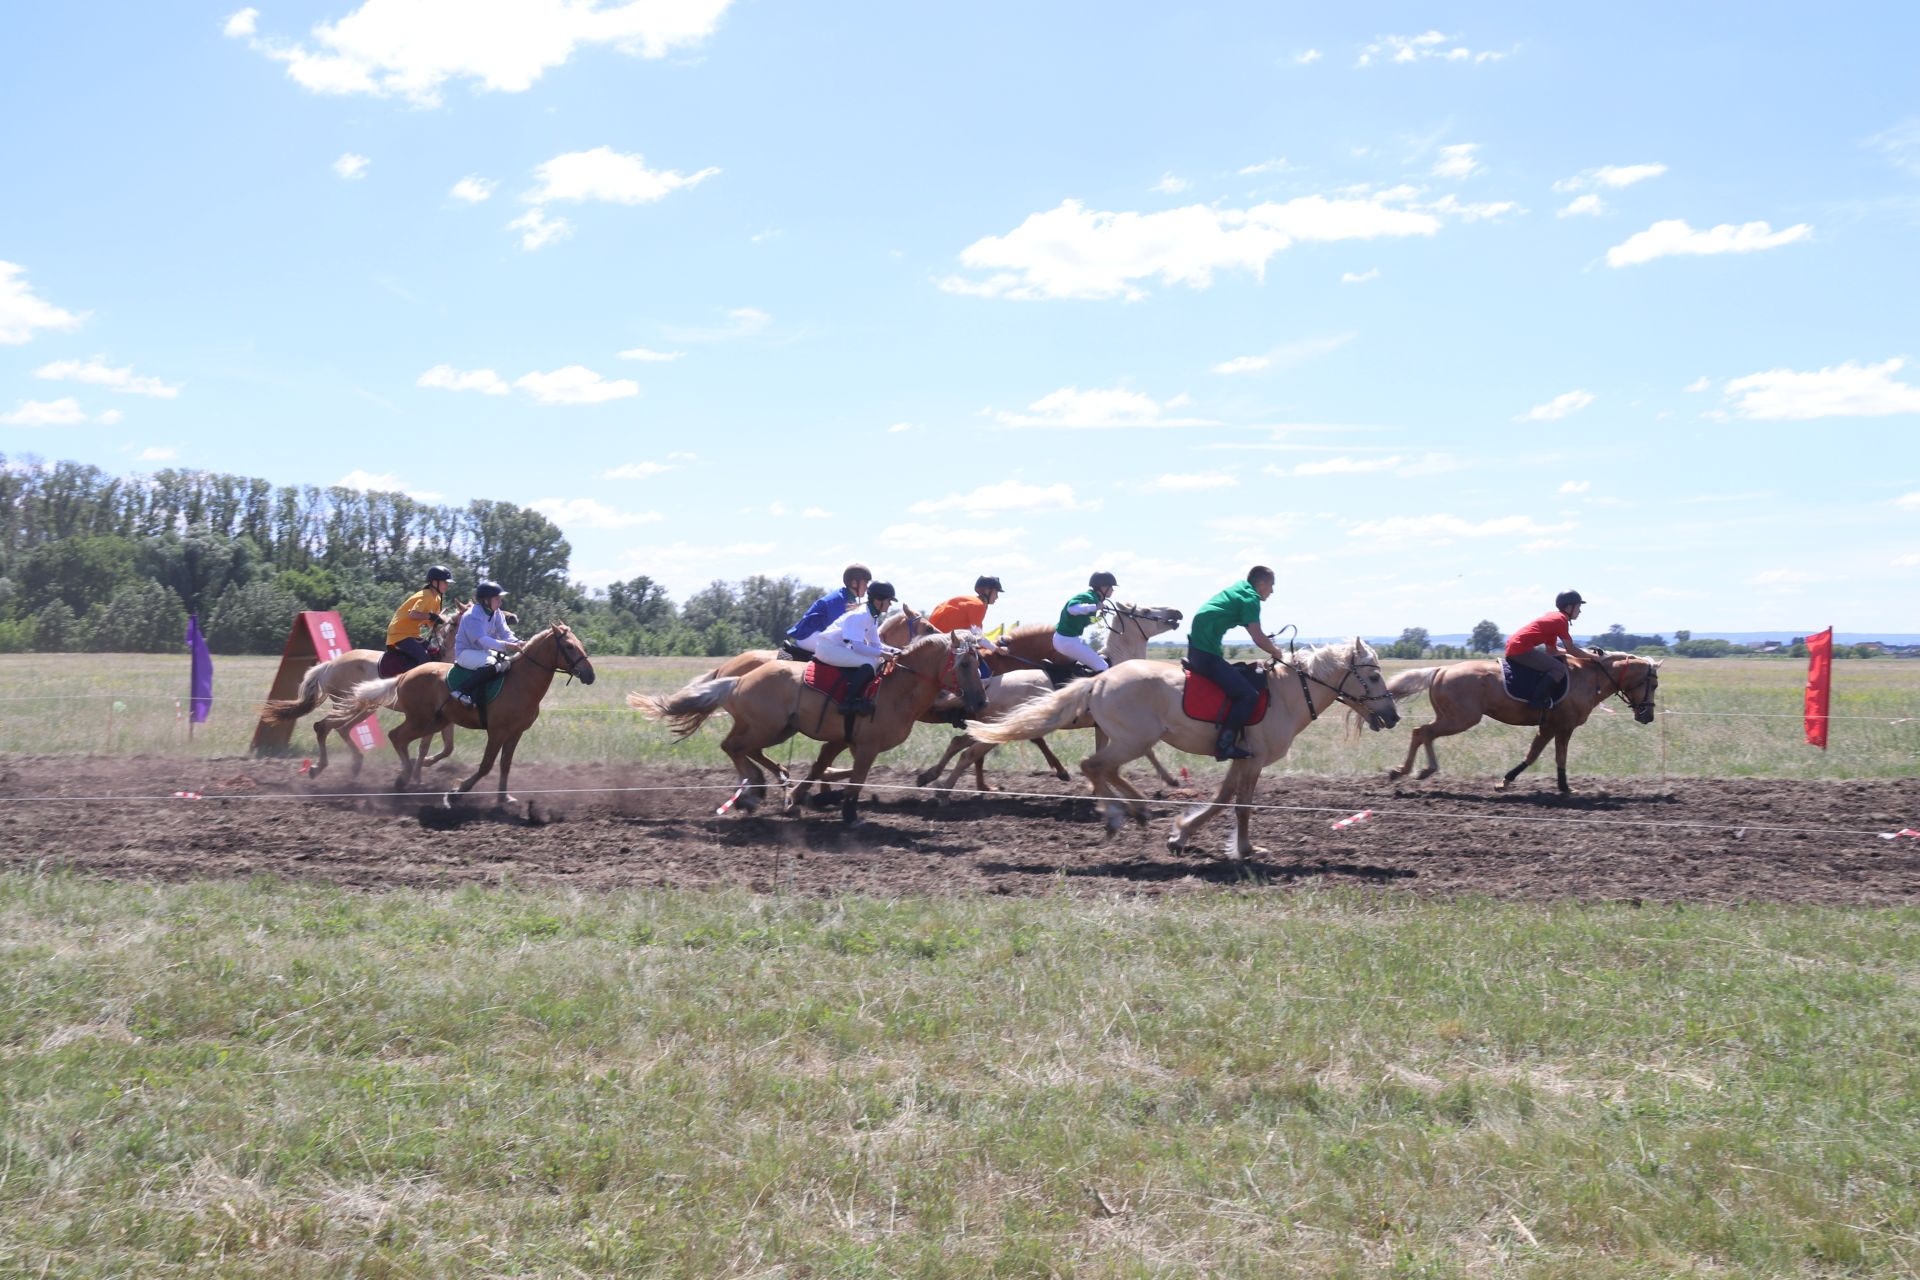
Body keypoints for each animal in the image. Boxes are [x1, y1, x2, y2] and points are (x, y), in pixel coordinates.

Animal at [259, 602, 464, 775]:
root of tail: (330, 665)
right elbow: (425, 746)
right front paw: (415, 772)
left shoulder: (446, 718)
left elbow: (448, 747)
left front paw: (422, 765)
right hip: (348, 704)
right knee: (324, 726)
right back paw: (320, 767)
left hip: (364, 706)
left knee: (341, 728)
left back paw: (355, 763)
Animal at [332, 621, 591, 802]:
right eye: (569, 646)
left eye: (580, 644)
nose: (590, 675)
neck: (520, 682)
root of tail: (405, 675)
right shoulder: (497, 732)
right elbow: (486, 765)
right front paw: (457, 791)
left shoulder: (515, 733)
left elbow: (505, 764)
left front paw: (503, 797)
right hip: (420, 719)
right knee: (396, 736)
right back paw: (403, 777)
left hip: (434, 721)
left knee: (400, 738)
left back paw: (405, 774)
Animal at [633, 633, 990, 832]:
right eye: (965, 665)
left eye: (979, 663)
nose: (980, 701)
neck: (895, 689)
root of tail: (736, 679)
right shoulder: (865, 746)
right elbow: (856, 778)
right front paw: (849, 814)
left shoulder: (839, 739)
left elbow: (821, 767)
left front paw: (796, 798)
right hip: (767, 727)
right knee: (733, 747)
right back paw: (754, 789)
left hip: (776, 728)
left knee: (742, 748)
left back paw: (764, 783)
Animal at [975, 644, 1397, 867]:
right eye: (1374, 676)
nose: (1393, 716)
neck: (1288, 693)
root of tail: (1100, 679)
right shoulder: (1254, 760)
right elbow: (1242, 807)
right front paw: (1246, 849)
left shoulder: (1241, 757)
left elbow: (1223, 799)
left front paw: (1181, 834)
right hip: (1133, 739)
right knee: (1093, 766)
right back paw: (1119, 815)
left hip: (1132, 740)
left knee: (1103, 769)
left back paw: (1136, 810)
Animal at [1382, 656, 1666, 794]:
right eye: (1653, 684)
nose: (1647, 716)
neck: (1590, 678)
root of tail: (1440, 670)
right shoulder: (1560, 726)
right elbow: (1541, 755)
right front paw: (1508, 781)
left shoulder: (1553, 727)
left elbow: (1544, 756)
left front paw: (1561, 786)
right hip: (1461, 719)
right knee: (1422, 732)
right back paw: (1414, 770)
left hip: (1452, 717)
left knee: (1422, 733)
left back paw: (1414, 770)